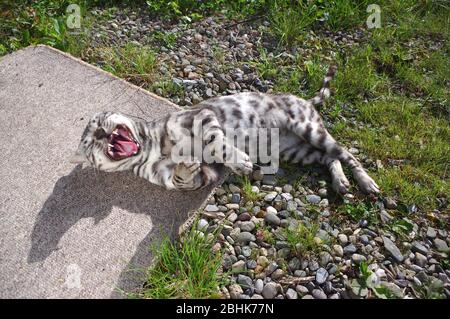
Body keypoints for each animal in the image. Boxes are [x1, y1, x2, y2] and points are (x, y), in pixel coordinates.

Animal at [71, 67, 380, 195]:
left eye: (99, 121)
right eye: (89, 144)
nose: (100, 134)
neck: (152, 146)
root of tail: (305, 100)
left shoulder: (202, 117)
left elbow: (216, 144)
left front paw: (240, 161)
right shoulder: (202, 176)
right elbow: (184, 178)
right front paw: (186, 165)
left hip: (308, 128)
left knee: (347, 154)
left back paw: (366, 182)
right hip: (297, 151)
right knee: (330, 158)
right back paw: (341, 182)